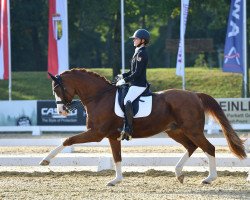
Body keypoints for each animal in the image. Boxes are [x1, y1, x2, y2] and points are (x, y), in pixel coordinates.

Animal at [39, 68, 246, 186]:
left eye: (57, 89)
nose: (62, 111)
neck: (99, 96)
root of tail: (195, 95)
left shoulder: (97, 133)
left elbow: (67, 139)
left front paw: (45, 160)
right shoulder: (112, 136)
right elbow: (117, 157)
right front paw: (116, 180)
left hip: (192, 130)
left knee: (209, 147)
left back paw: (209, 178)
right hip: (175, 131)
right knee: (192, 147)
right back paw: (179, 173)